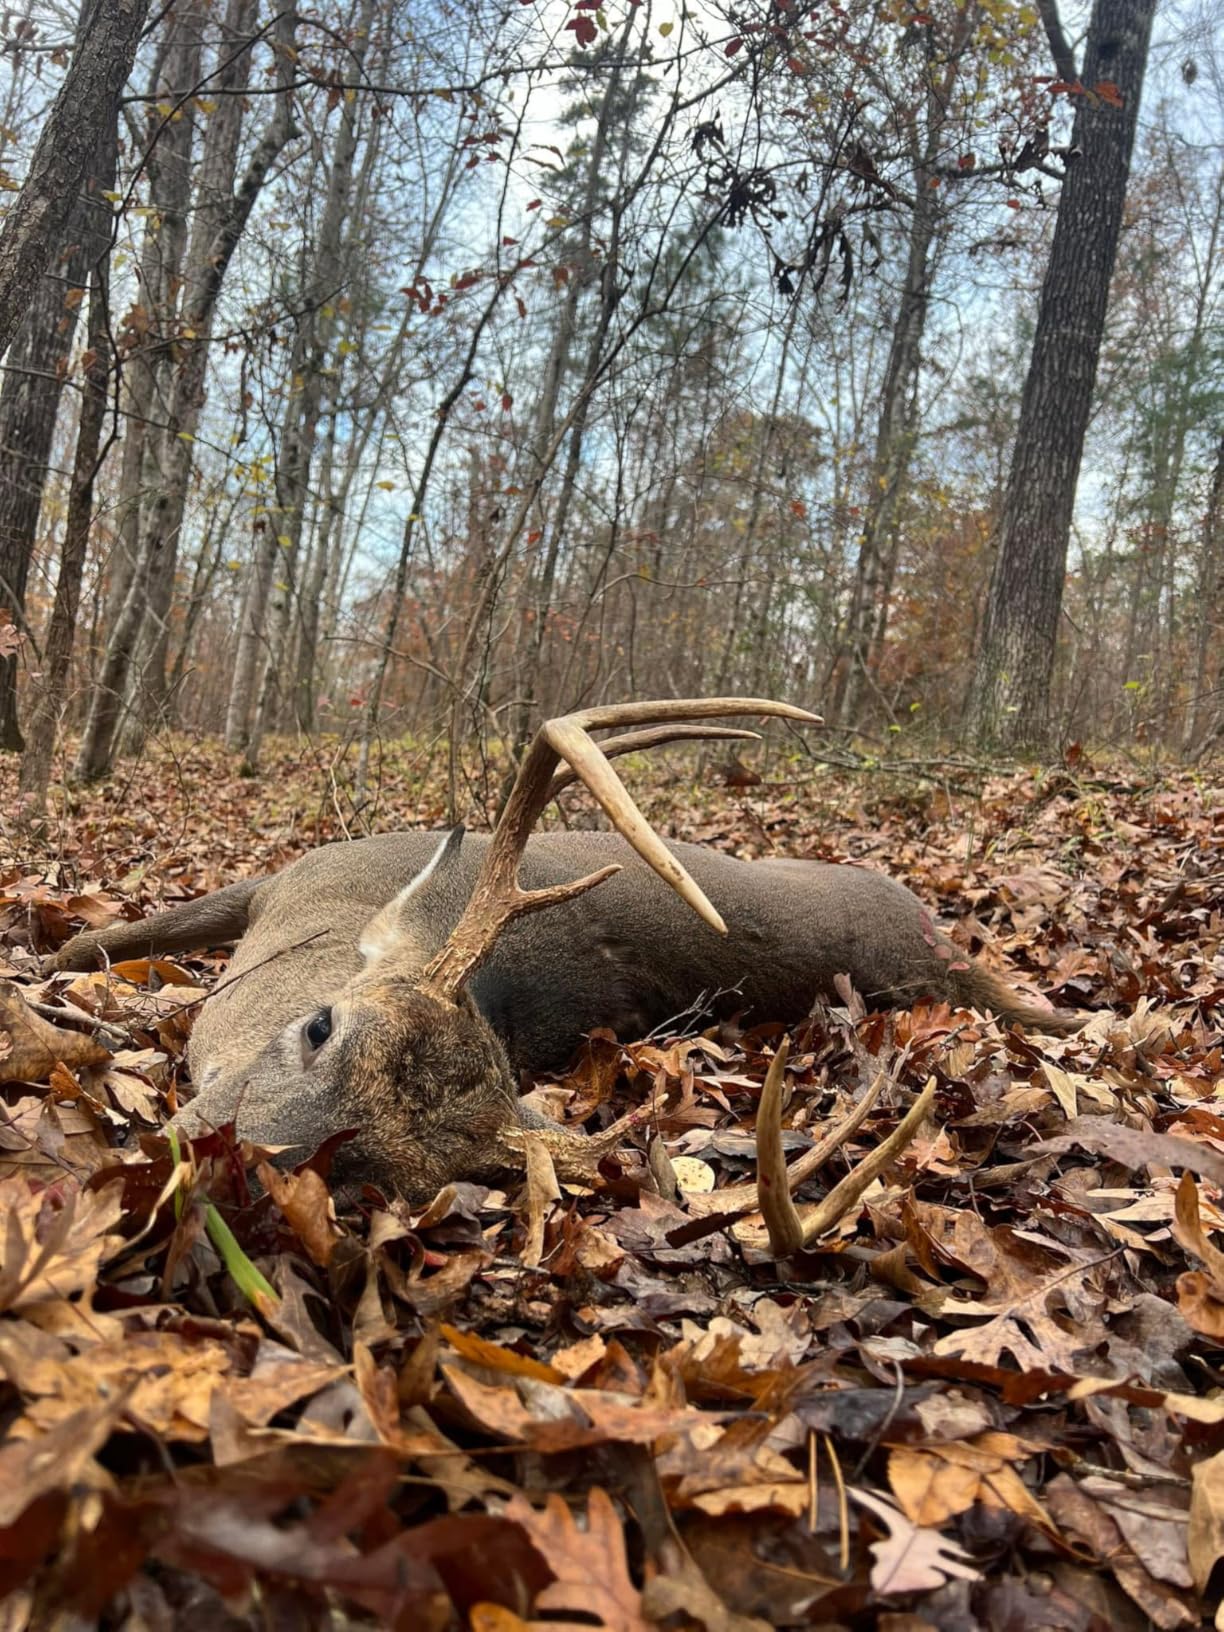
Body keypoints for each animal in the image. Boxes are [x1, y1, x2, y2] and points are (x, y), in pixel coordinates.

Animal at [49, 698, 1083, 1223]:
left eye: (376, 1178)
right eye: (318, 1025)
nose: (201, 1170)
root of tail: (942, 940)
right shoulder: (273, 880)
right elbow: (84, 939)